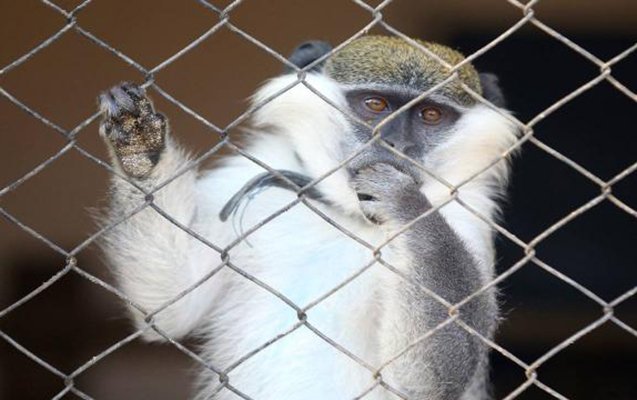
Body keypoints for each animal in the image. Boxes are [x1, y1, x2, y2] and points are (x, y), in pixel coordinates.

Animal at [98, 35, 516, 400]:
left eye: (431, 115)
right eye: (375, 105)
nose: (394, 144)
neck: (348, 213)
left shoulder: (469, 220)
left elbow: (420, 383)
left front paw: (404, 201)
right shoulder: (253, 167)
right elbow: (170, 309)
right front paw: (139, 149)